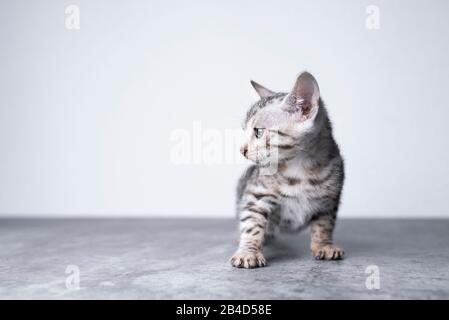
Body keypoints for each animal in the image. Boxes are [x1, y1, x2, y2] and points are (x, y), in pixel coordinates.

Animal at [229, 72, 344, 268]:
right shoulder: (256, 194)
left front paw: (324, 245)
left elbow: (324, 225)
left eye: (258, 132)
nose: (242, 150)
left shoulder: (329, 199)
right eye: (245, 131)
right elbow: (252, 224)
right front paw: (248, 252)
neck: (300, 168)